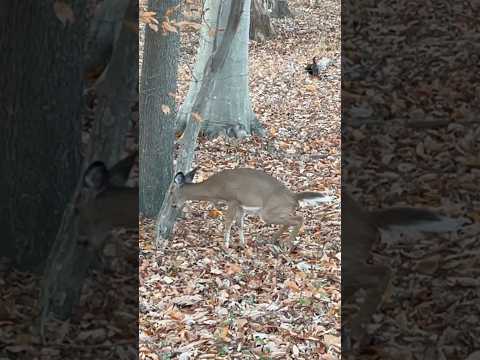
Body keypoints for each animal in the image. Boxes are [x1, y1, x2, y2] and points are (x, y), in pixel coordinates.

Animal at [171, 168, 332, 248]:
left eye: (171, 191)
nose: (173, 205)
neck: (215, 189)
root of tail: (294, 197)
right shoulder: (241, 205)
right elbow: (240, 224)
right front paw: (242, 244)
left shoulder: (233, 199)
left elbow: (228, 222)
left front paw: (225, 246)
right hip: (275, 211)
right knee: (290, 221)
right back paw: (273, 239)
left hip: (268, 212)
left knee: (299, 218)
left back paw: (287, 245)